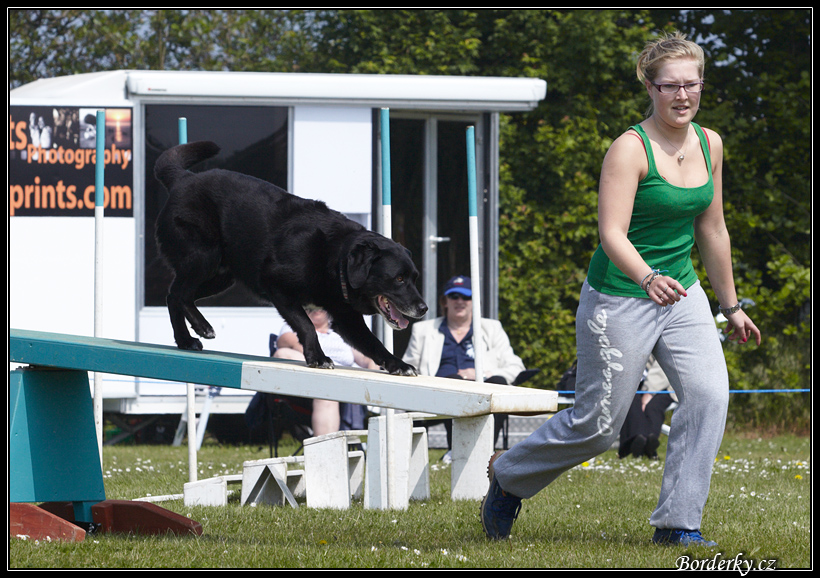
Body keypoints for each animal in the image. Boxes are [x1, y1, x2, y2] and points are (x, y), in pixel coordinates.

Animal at [151, 140, 430, 374]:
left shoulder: (346, 317)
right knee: (177, 294)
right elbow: (307, 325)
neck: (335, 258)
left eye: (415, 278)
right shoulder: (278, 287)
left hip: (222, 277)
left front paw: (398, 365)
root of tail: (182, 179)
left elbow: (374, 344)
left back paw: (190, 335)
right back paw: (195, 333)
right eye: (399, 279)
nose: (424, 308)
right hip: (204, 257)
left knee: (179, 296)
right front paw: (318, 357)